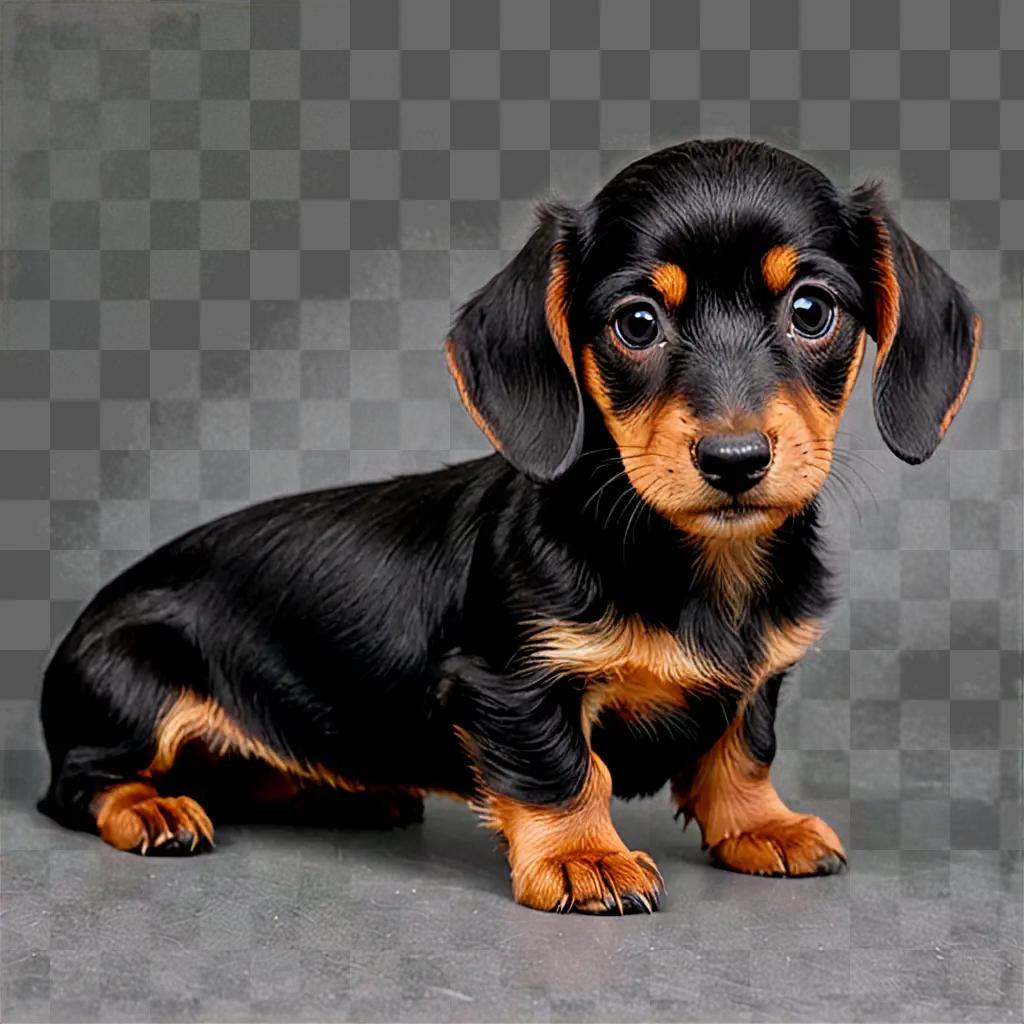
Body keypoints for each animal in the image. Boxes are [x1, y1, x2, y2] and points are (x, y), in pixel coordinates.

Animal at [39, 140, 978, 917]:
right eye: (638, 323)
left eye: (812, 311)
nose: (735, 459)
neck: (690, 560)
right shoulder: (508, 683)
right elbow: (564, 769)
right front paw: (583, 859)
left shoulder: (758, 677)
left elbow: (743, 748)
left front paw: (761, 825)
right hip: (131, 681)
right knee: (80, 784)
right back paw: (150, 806)